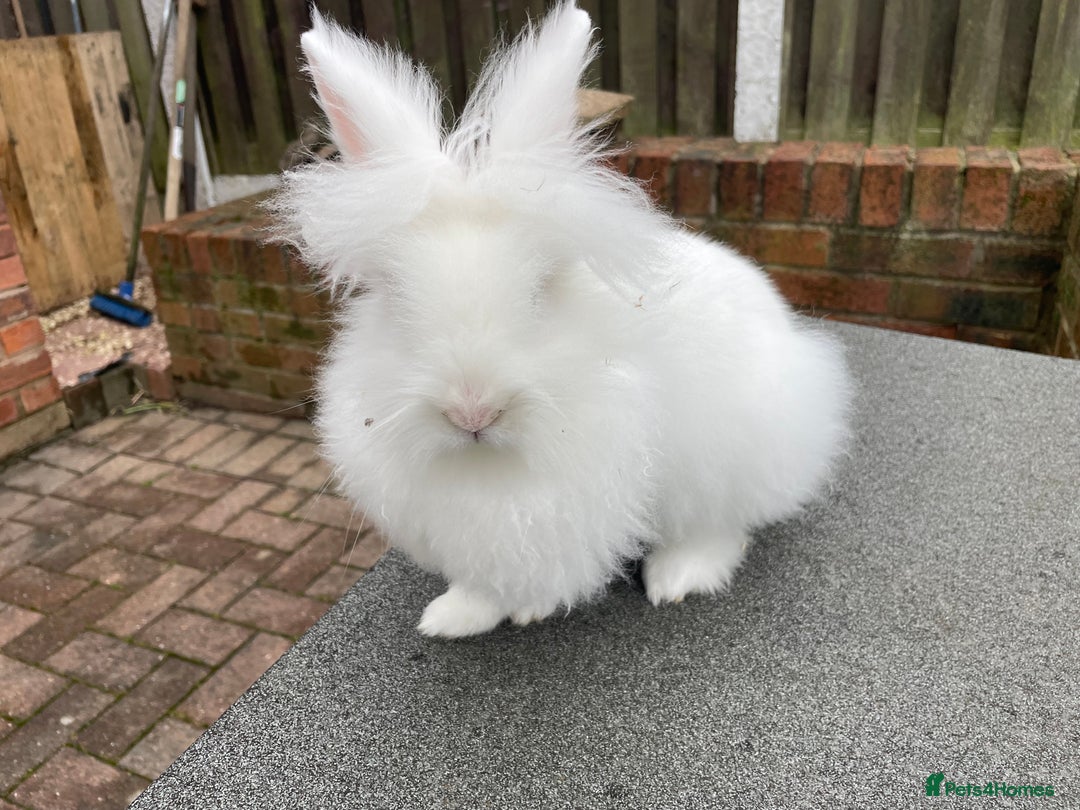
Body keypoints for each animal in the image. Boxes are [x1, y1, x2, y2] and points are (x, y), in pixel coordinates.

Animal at [271, 2, 852, 638]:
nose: (473, 411)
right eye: (394, 297)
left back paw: (679, 577)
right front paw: (453, 617)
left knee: (719, 525)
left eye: (543, 289)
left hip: (733, 448)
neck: (491, 469)